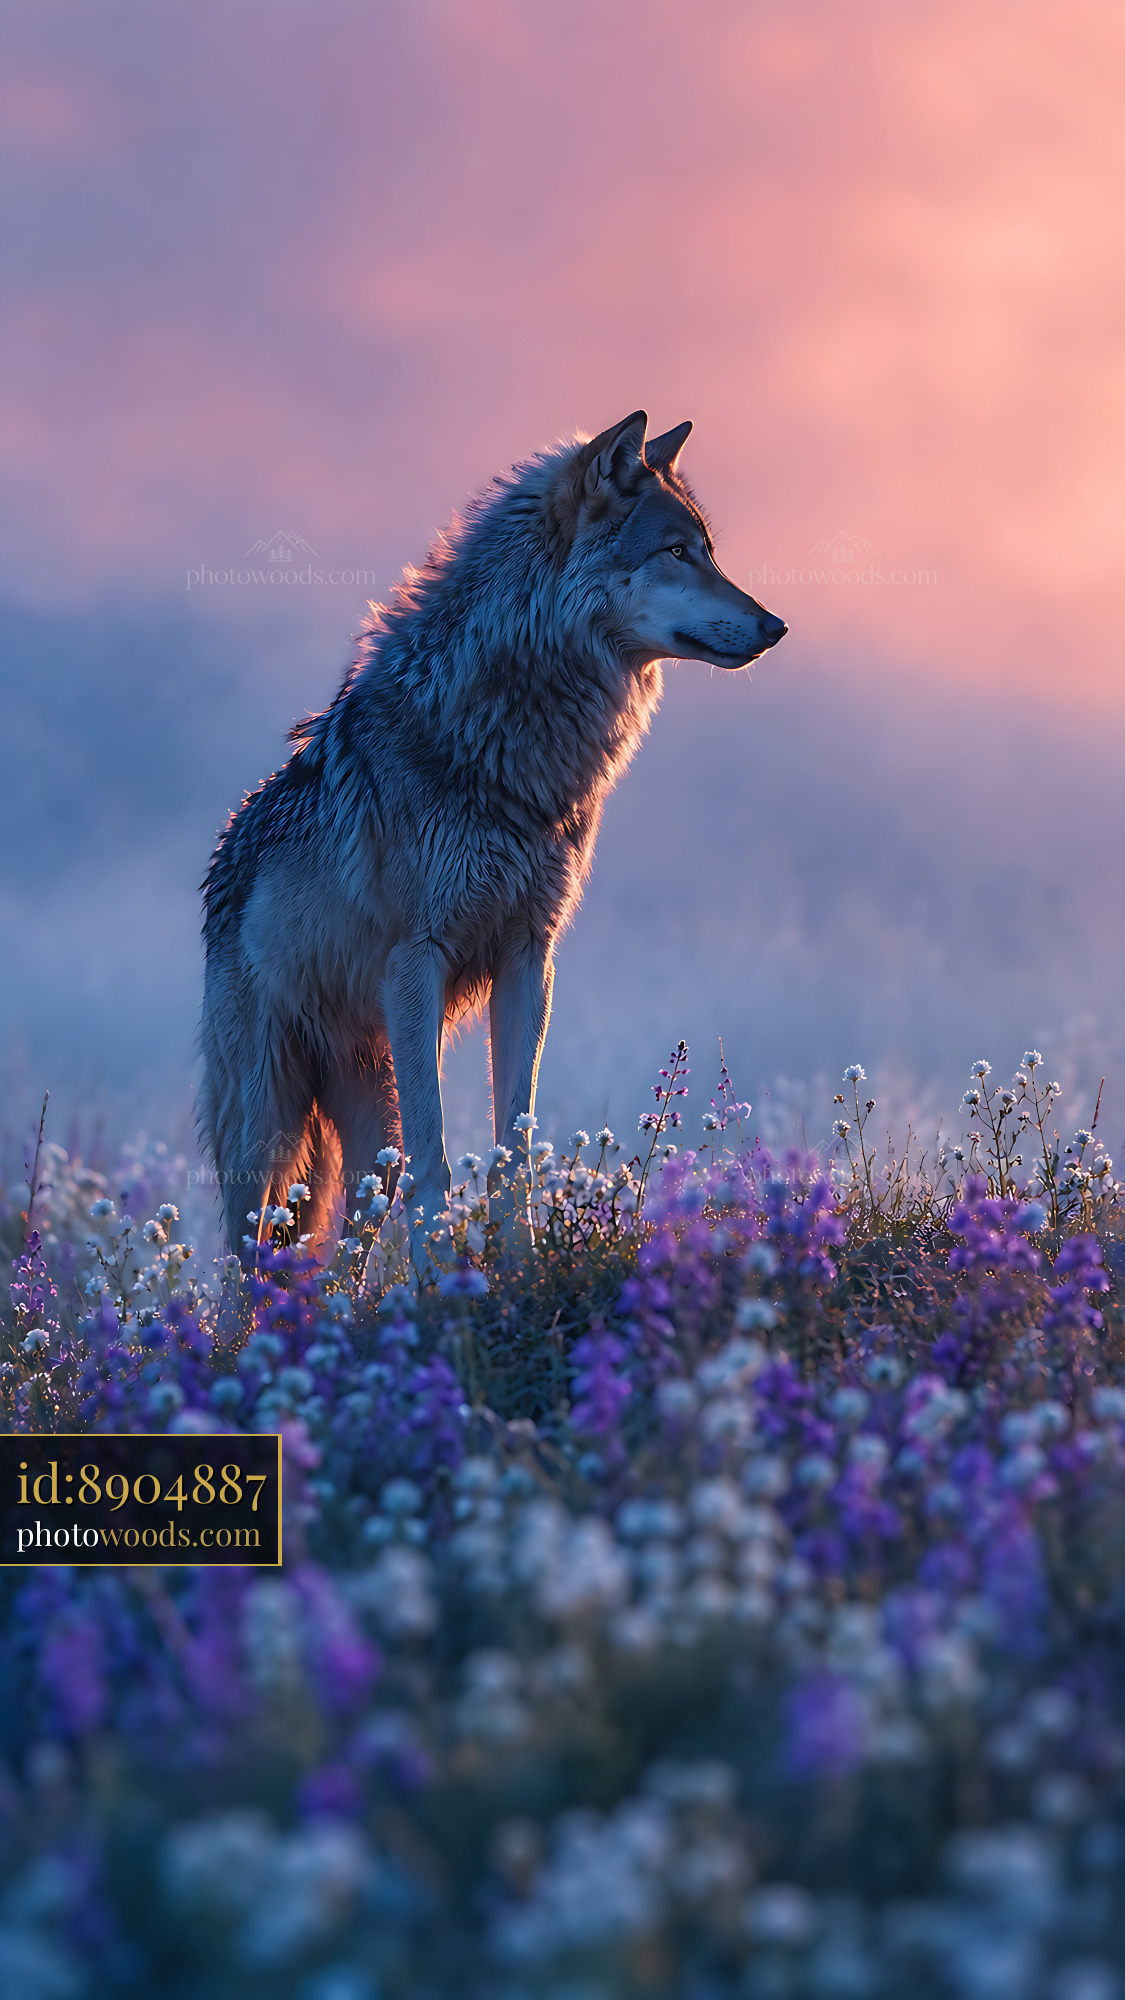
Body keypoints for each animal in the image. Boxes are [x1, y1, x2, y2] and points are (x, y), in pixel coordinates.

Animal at [201, 410, 786, 1260]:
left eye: (709, 550)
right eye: (677, 552)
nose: (775, 626)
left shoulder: (527, 958)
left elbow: (514, 1142)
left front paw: (515, 1265)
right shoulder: (417, 962)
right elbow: (440, 1159)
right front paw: (447, 1277)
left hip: (365, 1123)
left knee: (348, 1239)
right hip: (267, 1129)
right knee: (249, 1255)